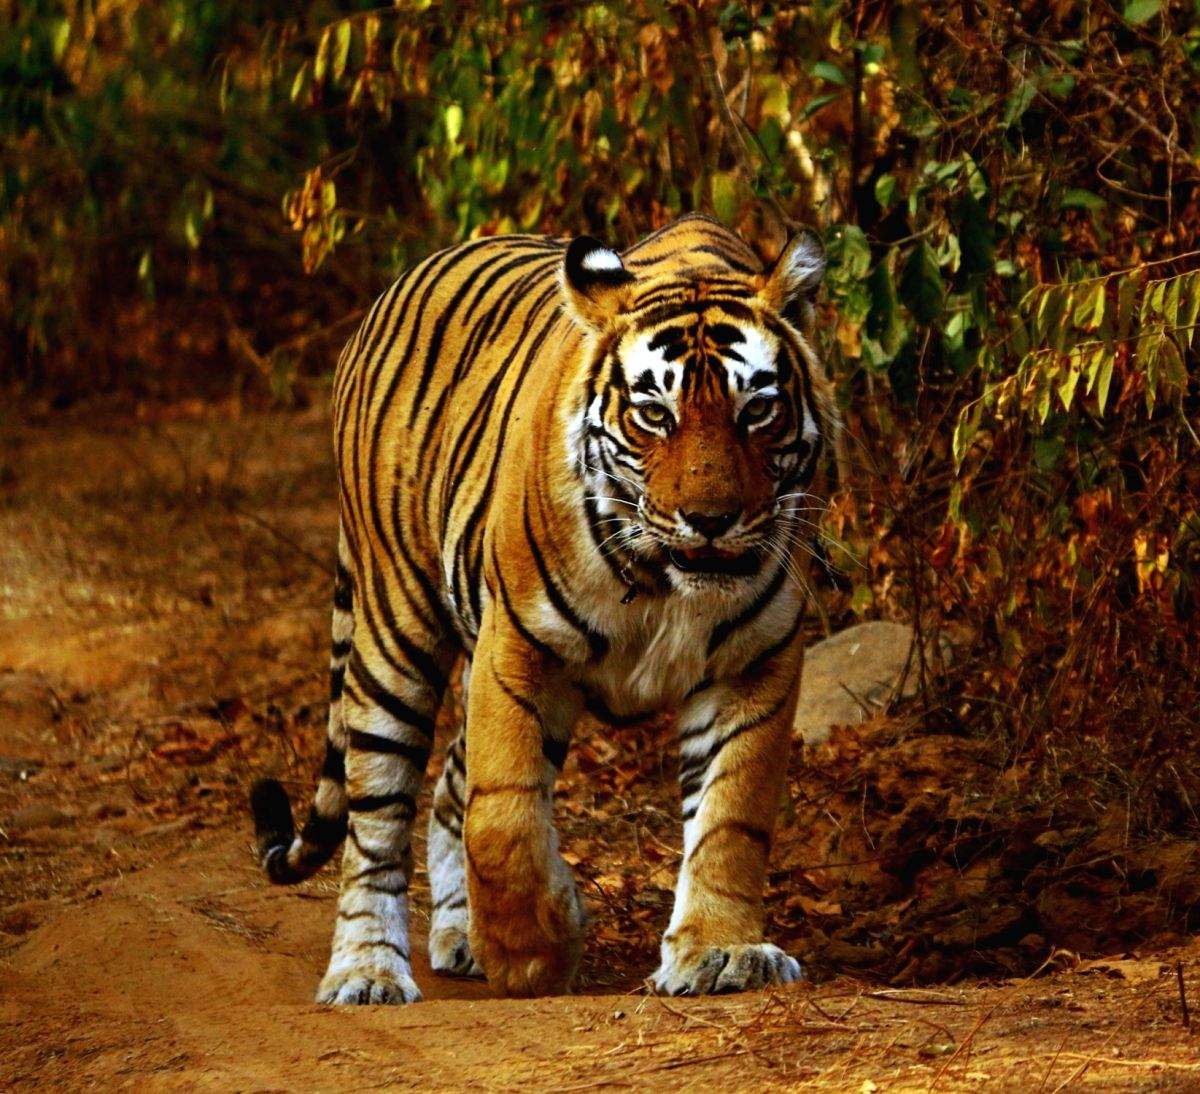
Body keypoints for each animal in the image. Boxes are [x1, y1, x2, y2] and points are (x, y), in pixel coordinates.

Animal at [250, 213, 835, 1004]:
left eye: (759, 410)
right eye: (655, 415)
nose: (710, 520)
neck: (662, 582)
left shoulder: (756, 662)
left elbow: (730, 819)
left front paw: (720, 952)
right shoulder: (518, 647)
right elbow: (501, 814)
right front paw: (537, 950)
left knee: (446, 791)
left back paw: (461, 935)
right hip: (393, 633)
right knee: (377, 819)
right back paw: (368, 969)